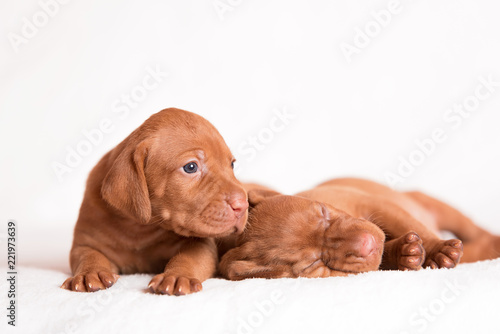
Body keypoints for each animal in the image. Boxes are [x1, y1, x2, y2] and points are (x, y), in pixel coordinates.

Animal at [61, 108, 249, 294]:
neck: (139, 228)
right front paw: (89, 273)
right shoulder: (86, 242)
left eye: (232, 165)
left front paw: (177, 276)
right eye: (191, 167)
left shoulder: (202, 244)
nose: (243, 205)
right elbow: (88, 255)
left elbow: (189, 258)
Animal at [220, 177, 500, 280]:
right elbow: (383, 259)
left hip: (434, 205)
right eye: (316, 263)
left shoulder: (376, 204)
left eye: (323, 212)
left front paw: (437, 248)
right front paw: (403, 253)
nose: (368, 243)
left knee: (472, 229)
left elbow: (409, 223)